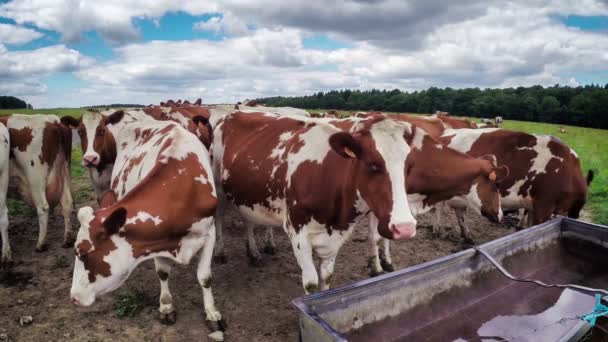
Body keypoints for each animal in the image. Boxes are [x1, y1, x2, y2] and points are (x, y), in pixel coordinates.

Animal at [0, 113, 74, 258]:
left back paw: (40, 244)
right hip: (64, 170)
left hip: (35, 177)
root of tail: (54, 121)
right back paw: (67, 240)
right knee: (67, 203)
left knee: (43, 207)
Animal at [69, 110, 226, 336]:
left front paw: (212, 314)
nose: (73, 297)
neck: (182, 190)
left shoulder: (209, 233)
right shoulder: (155, 240)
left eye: (82, 253)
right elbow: (163, 273)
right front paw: (167, 307)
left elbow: (205, 277)